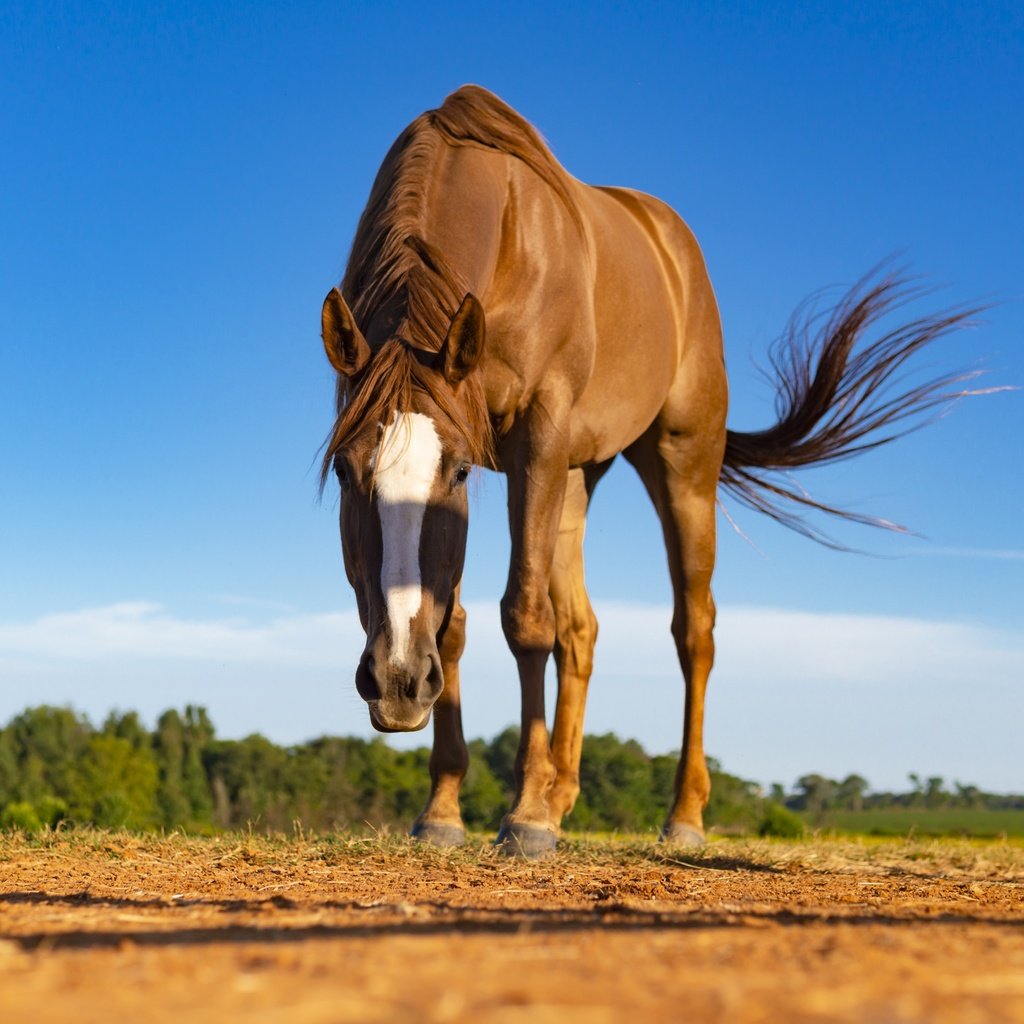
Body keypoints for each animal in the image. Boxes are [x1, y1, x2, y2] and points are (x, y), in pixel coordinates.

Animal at [317, 86, 974, 856]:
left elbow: (524, 618)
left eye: (452, 473)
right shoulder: (519, 464)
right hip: (576, 475)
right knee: (582, 629)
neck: (505, 237)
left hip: (680, 463)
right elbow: (457, 624)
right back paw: (560, 794)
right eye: (346, 471)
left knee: (693, 631)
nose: (395, 681)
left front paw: (524, 816)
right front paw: (446, 809)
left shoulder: (533, 439)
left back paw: (679, 814)